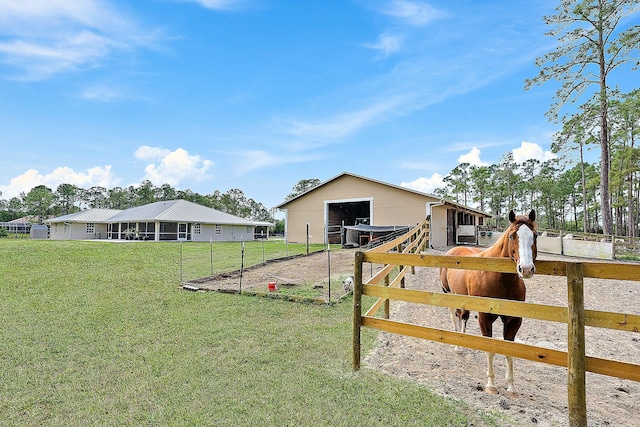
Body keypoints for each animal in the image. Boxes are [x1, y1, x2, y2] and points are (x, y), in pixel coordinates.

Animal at [438, 211, 536, 398]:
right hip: (449, 294)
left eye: (534, 235)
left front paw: (512, 388)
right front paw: (491, 385)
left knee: (463, 317)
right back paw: (457, 347)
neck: (499, 277)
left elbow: (509, 349)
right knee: (455, 319)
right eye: (512, 236)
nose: (526, 269)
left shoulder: (513, 319)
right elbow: (490, 349)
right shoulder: (485, 317)